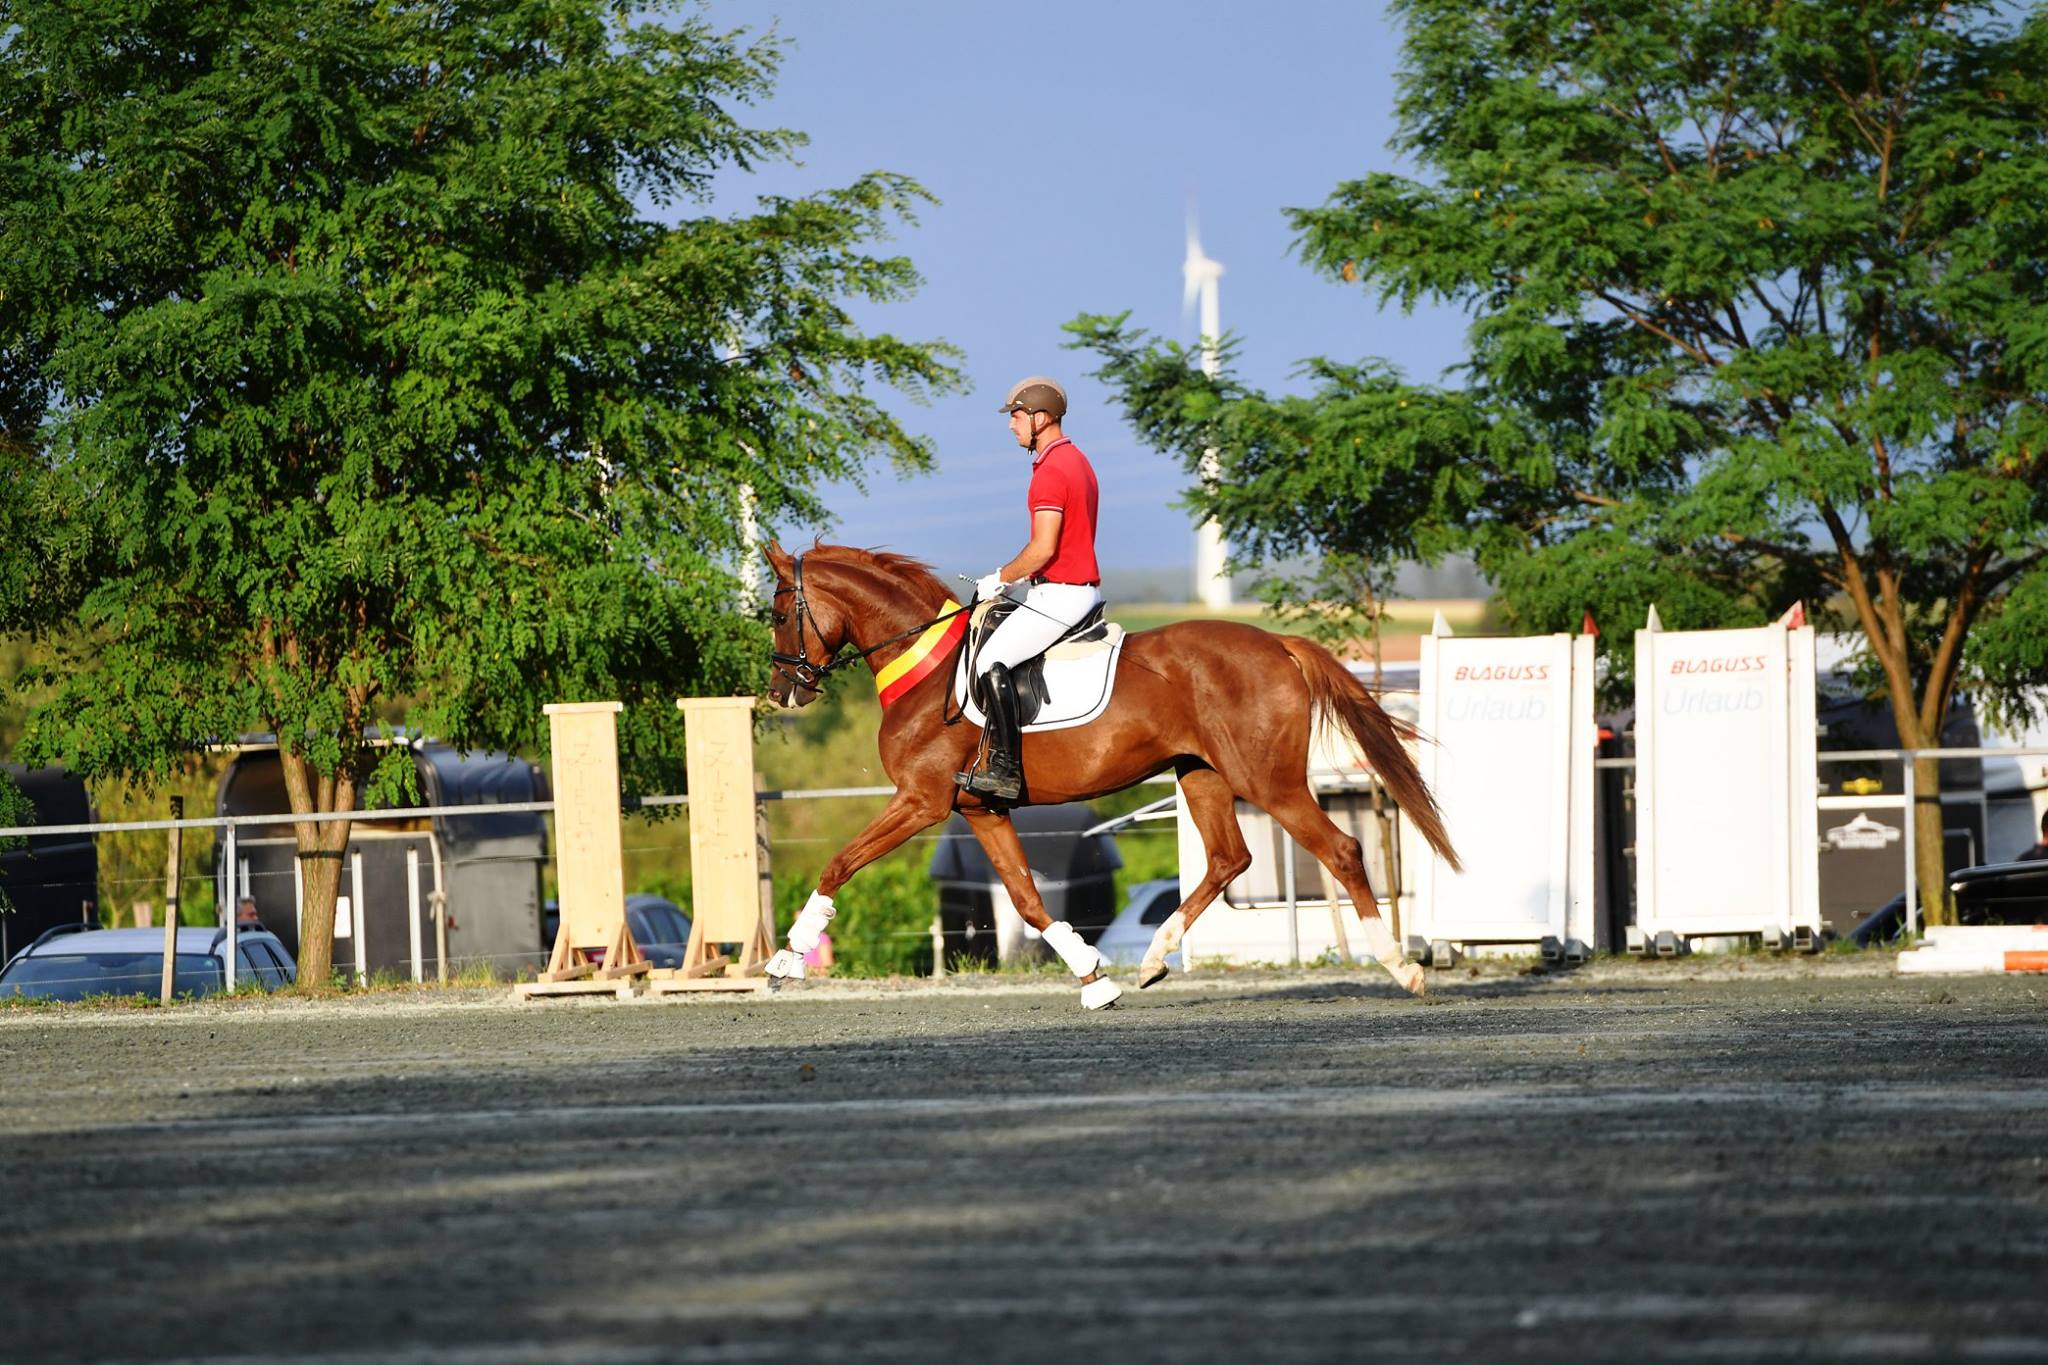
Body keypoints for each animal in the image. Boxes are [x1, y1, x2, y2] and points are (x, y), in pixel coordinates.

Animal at [765, 540, 1458, 1002]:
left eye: (775, 614)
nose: (781, 692)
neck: (926, 668)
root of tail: (1277, 645)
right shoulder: (980, 808)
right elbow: (1028, 898)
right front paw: (1093, 976)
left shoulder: (920, 801)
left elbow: (839, 864)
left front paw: (786, 960)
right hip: (1201, 774)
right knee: (1228, 860)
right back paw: (1152, 960)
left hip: (1269, 782)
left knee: (1340, 850)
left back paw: (1402, 967)